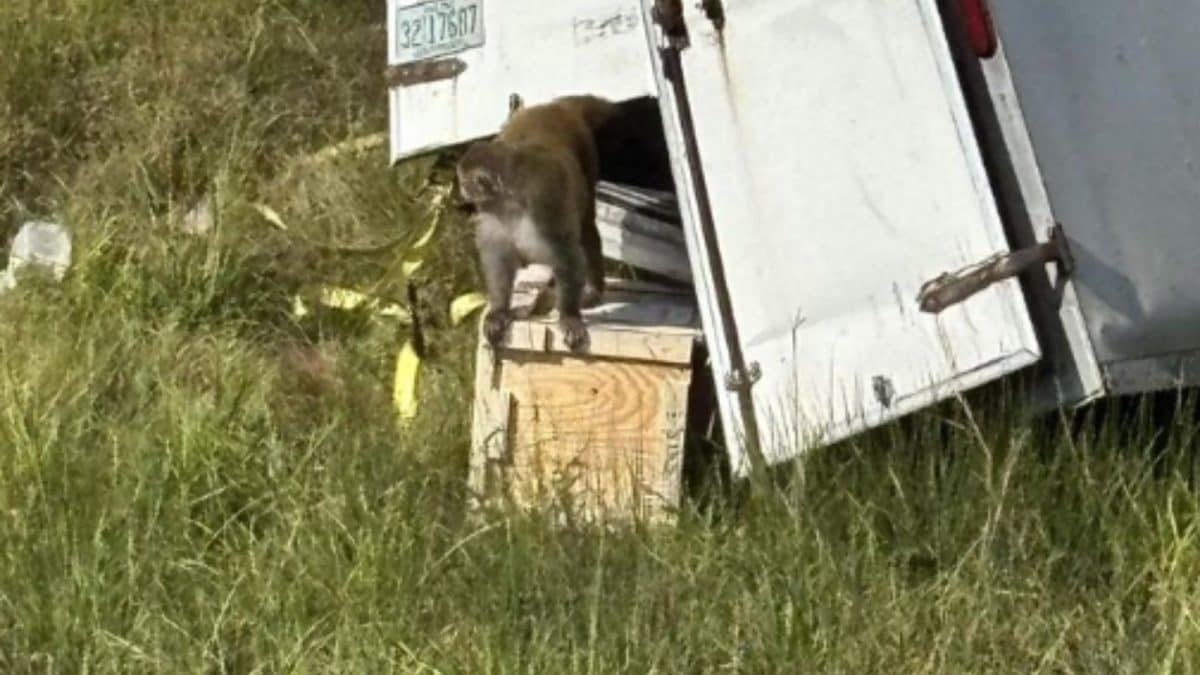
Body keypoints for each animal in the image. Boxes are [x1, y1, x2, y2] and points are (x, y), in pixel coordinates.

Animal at [457, 95, 620, 353]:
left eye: (464, 182)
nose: (461, 191)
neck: (512, 201)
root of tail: (554, 106)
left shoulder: (545, 203)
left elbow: (567, 255)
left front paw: (569, 316)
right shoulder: (493, 214)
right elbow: (499, 257)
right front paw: (499, 310)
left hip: (586, 154)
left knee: (586, 228)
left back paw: (593, 290)